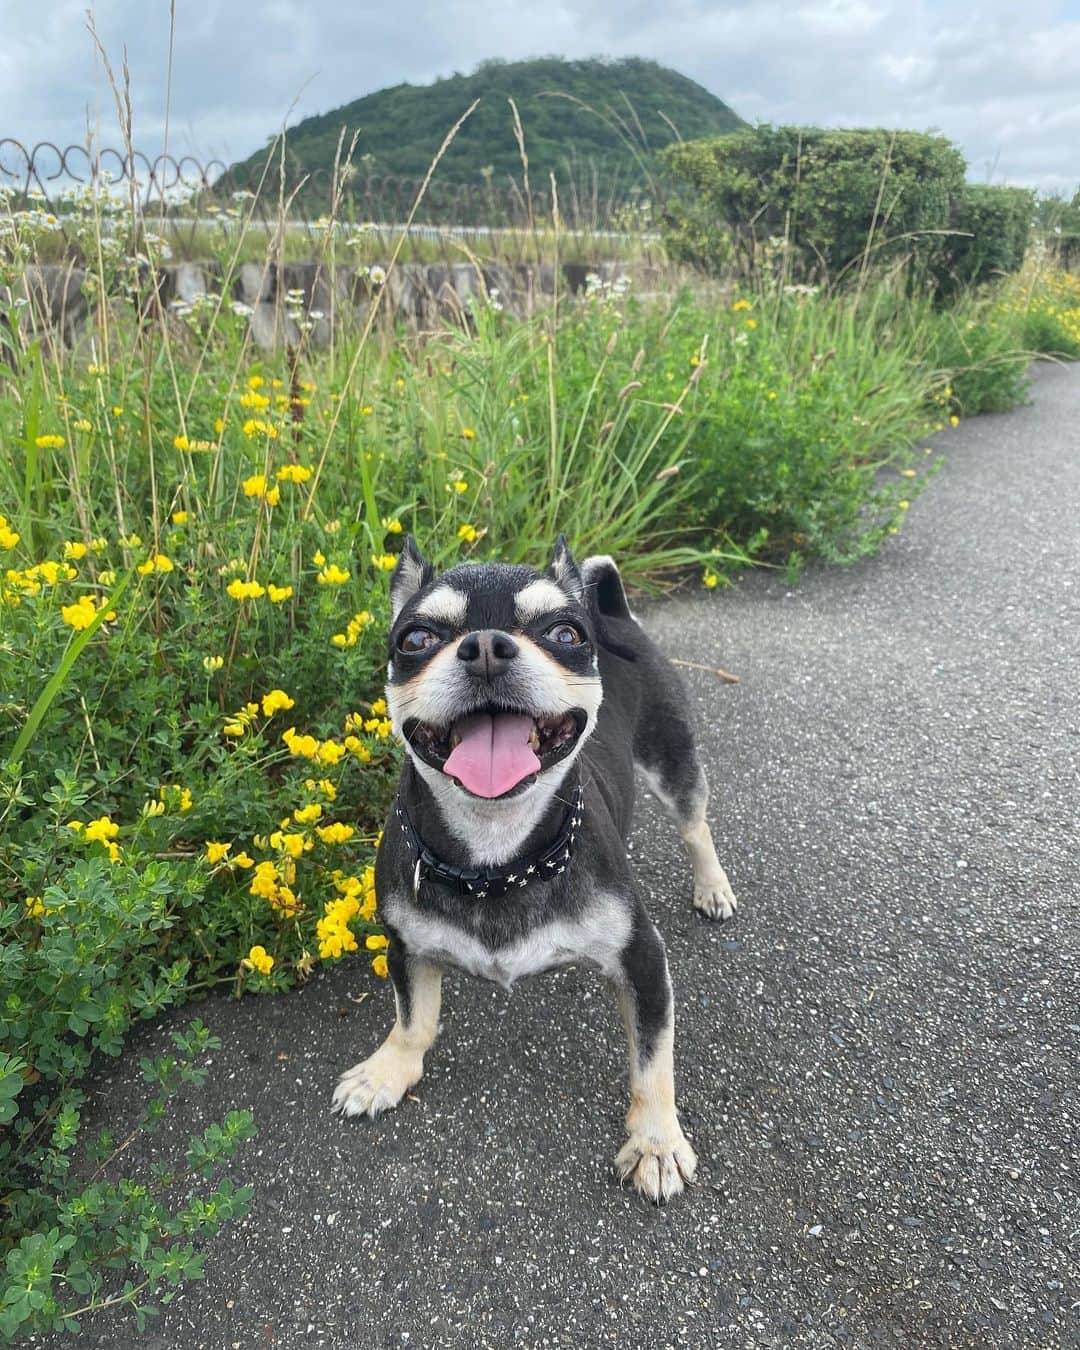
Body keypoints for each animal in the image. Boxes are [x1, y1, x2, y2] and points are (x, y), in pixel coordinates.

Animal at [329, 537, 739, 1204]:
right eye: (415, 639)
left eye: (565, 633)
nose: (486, 646)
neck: (499, 856)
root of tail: (616, 613)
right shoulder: (405, 946)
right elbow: (413, 1019)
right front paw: (387, 1073)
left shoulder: (643, 962)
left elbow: (652, 1061)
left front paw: (655, 1142)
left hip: (671, 757)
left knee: (694, 824)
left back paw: (713, 887)